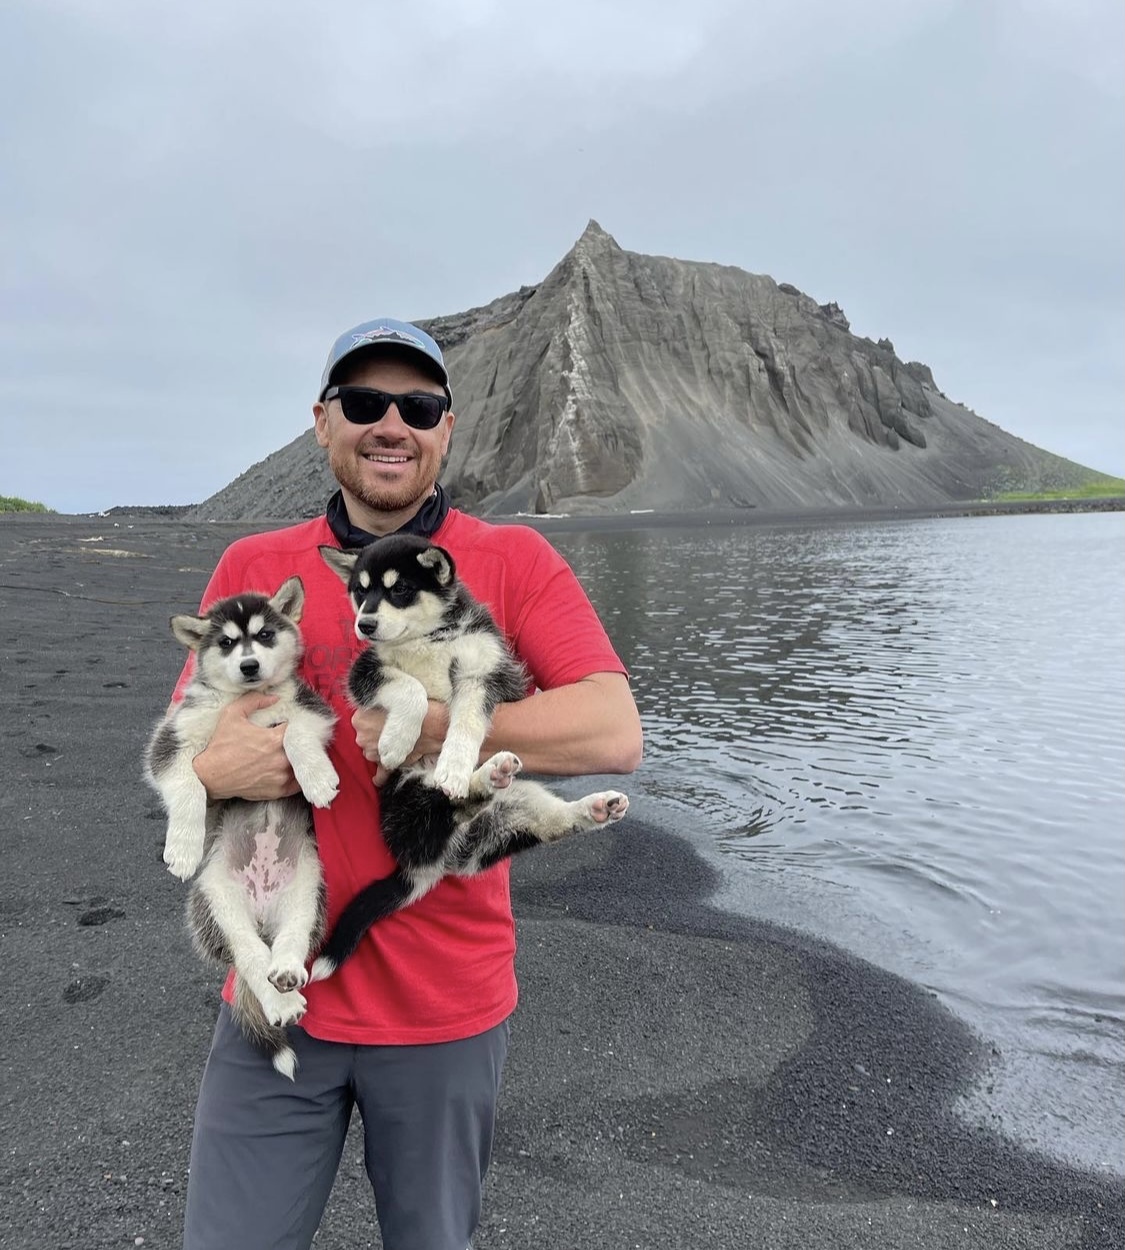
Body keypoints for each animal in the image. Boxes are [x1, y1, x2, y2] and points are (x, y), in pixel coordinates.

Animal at [140, 575, 335, 1075]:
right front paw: (183, 847)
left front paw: (317, 778)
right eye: (226, 643)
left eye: (264, 635)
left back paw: (286, 972)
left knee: (291, 937)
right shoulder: (172, 740)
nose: (249, 666)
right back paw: (278, 999)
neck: (246, 701)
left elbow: (294, 732)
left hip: (308, 887)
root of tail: (263, 910)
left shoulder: (313, 711)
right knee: (248, 957)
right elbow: (188, 784)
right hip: (217, 903)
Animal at [312, 532, 627, 980]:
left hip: (513, 809)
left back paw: (582, 803)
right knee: (450, 807)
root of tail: (427, 865)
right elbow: (409, 687)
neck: (426, 640)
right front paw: (397, 740)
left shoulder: (481, 671)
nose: (365, 624)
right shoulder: (367, 671)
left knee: (544, 821)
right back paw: (488, 779)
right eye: (360, 591)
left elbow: (465, 723)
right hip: (409, 799)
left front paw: (454, 764)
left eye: (400, 589)